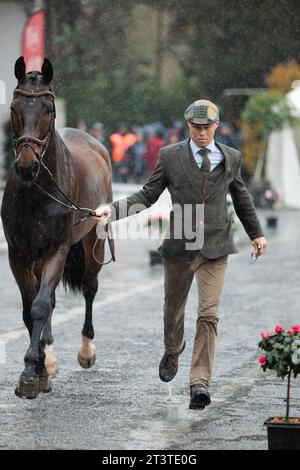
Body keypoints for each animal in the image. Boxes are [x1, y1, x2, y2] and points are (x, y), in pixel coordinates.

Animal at [0, 57, 113, 398]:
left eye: (49, 108)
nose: (26, 166)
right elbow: (31, 308)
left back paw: (86, 351)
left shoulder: (57, 250)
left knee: (89, 287)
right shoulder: (19, 254)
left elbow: (39, 306)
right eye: (14, 107)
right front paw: (39, 369)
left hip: (92, 243)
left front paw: (31, 371)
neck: (37, 191)